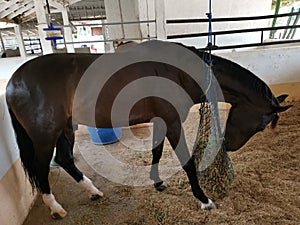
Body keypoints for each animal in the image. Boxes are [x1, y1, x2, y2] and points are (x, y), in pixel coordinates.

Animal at [5, 40, 290, 218]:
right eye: (262, 125)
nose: (228, 145)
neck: (178, 72)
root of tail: (13, 82)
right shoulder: (172, 121)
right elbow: (186, 162)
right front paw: (204, 200)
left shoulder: (161, 120)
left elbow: (156, 152)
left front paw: (158, 183)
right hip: (45, 135)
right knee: (42, 168)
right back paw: (56, 208)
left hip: (66, 128)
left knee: (65, 159)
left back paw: (94, 192)